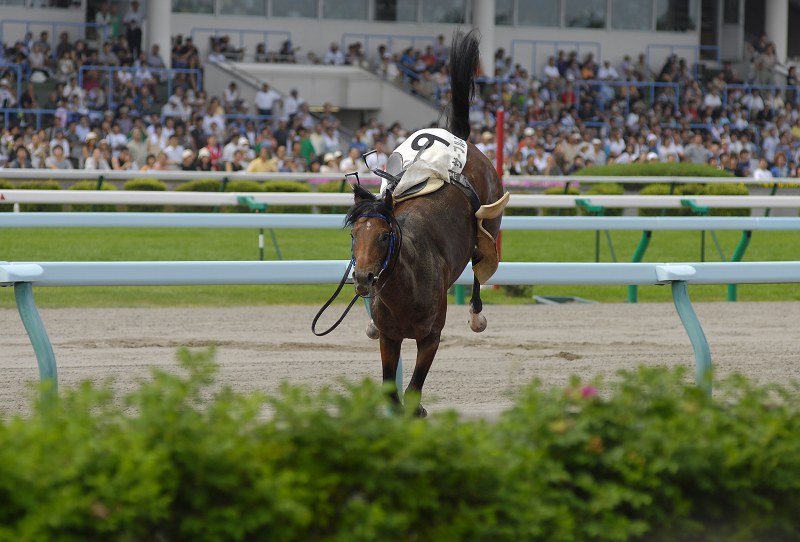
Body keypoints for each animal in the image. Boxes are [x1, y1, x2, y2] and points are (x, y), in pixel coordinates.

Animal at [344, 31, 506, 418]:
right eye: (355, 235)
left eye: (384, 236)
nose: (363, 278)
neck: (406, 283)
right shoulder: (390, 336)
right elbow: (391, 391)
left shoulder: (430, 336)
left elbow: (414, 389)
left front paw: (416, 410)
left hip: (491, 223)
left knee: (480, 264)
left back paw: (477, 316)